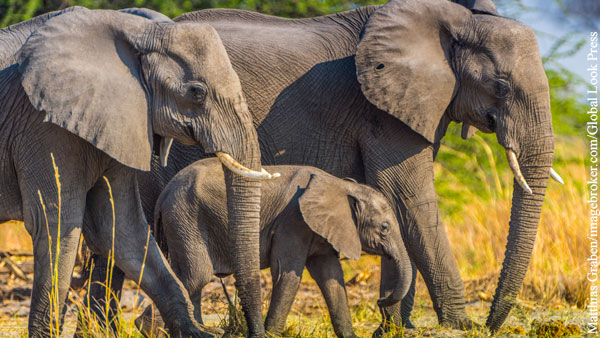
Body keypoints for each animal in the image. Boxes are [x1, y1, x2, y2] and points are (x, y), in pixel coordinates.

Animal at [0, 7, 274, 338]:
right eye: (197, 92)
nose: (253, 331)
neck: (136, 30)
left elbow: (121, 228)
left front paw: (198, 333)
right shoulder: (43, 126)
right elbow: (56, 225)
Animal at [137, 158, 410, 338]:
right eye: (385, 228)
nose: (381, 299)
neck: (340, 186)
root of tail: (163, 196)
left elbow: (331, 277)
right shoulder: (293, 221)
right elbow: (288, 274)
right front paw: (270, 335)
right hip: (186, 219)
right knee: (195, 276)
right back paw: (153, 331)